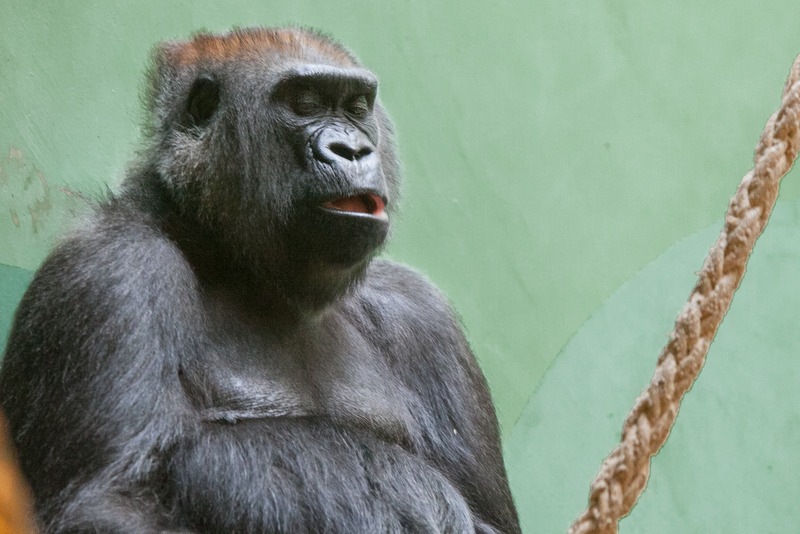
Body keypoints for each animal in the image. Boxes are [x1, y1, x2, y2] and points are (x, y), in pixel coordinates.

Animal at [0, 27, 521, 533]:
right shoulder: (112, 266)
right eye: (305, 104)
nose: (353, 149)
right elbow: (111, 501)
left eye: (356, 109)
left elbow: (489, 520)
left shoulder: (422, 315)